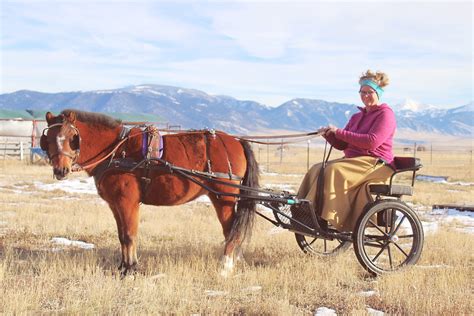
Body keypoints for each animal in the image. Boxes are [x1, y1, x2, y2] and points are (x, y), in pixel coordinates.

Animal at [40, 109, 260, 276]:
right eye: (48, 139)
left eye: (72, 138)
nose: (60, 170)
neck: (115, 151)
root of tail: (237, 141)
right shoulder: (115, 205)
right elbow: (121, 235)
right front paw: (122, 267)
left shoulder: (127, 202)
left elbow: (129, 235)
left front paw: (131, 269)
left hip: (224, 197)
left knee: (231, 232)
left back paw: (225, 268)